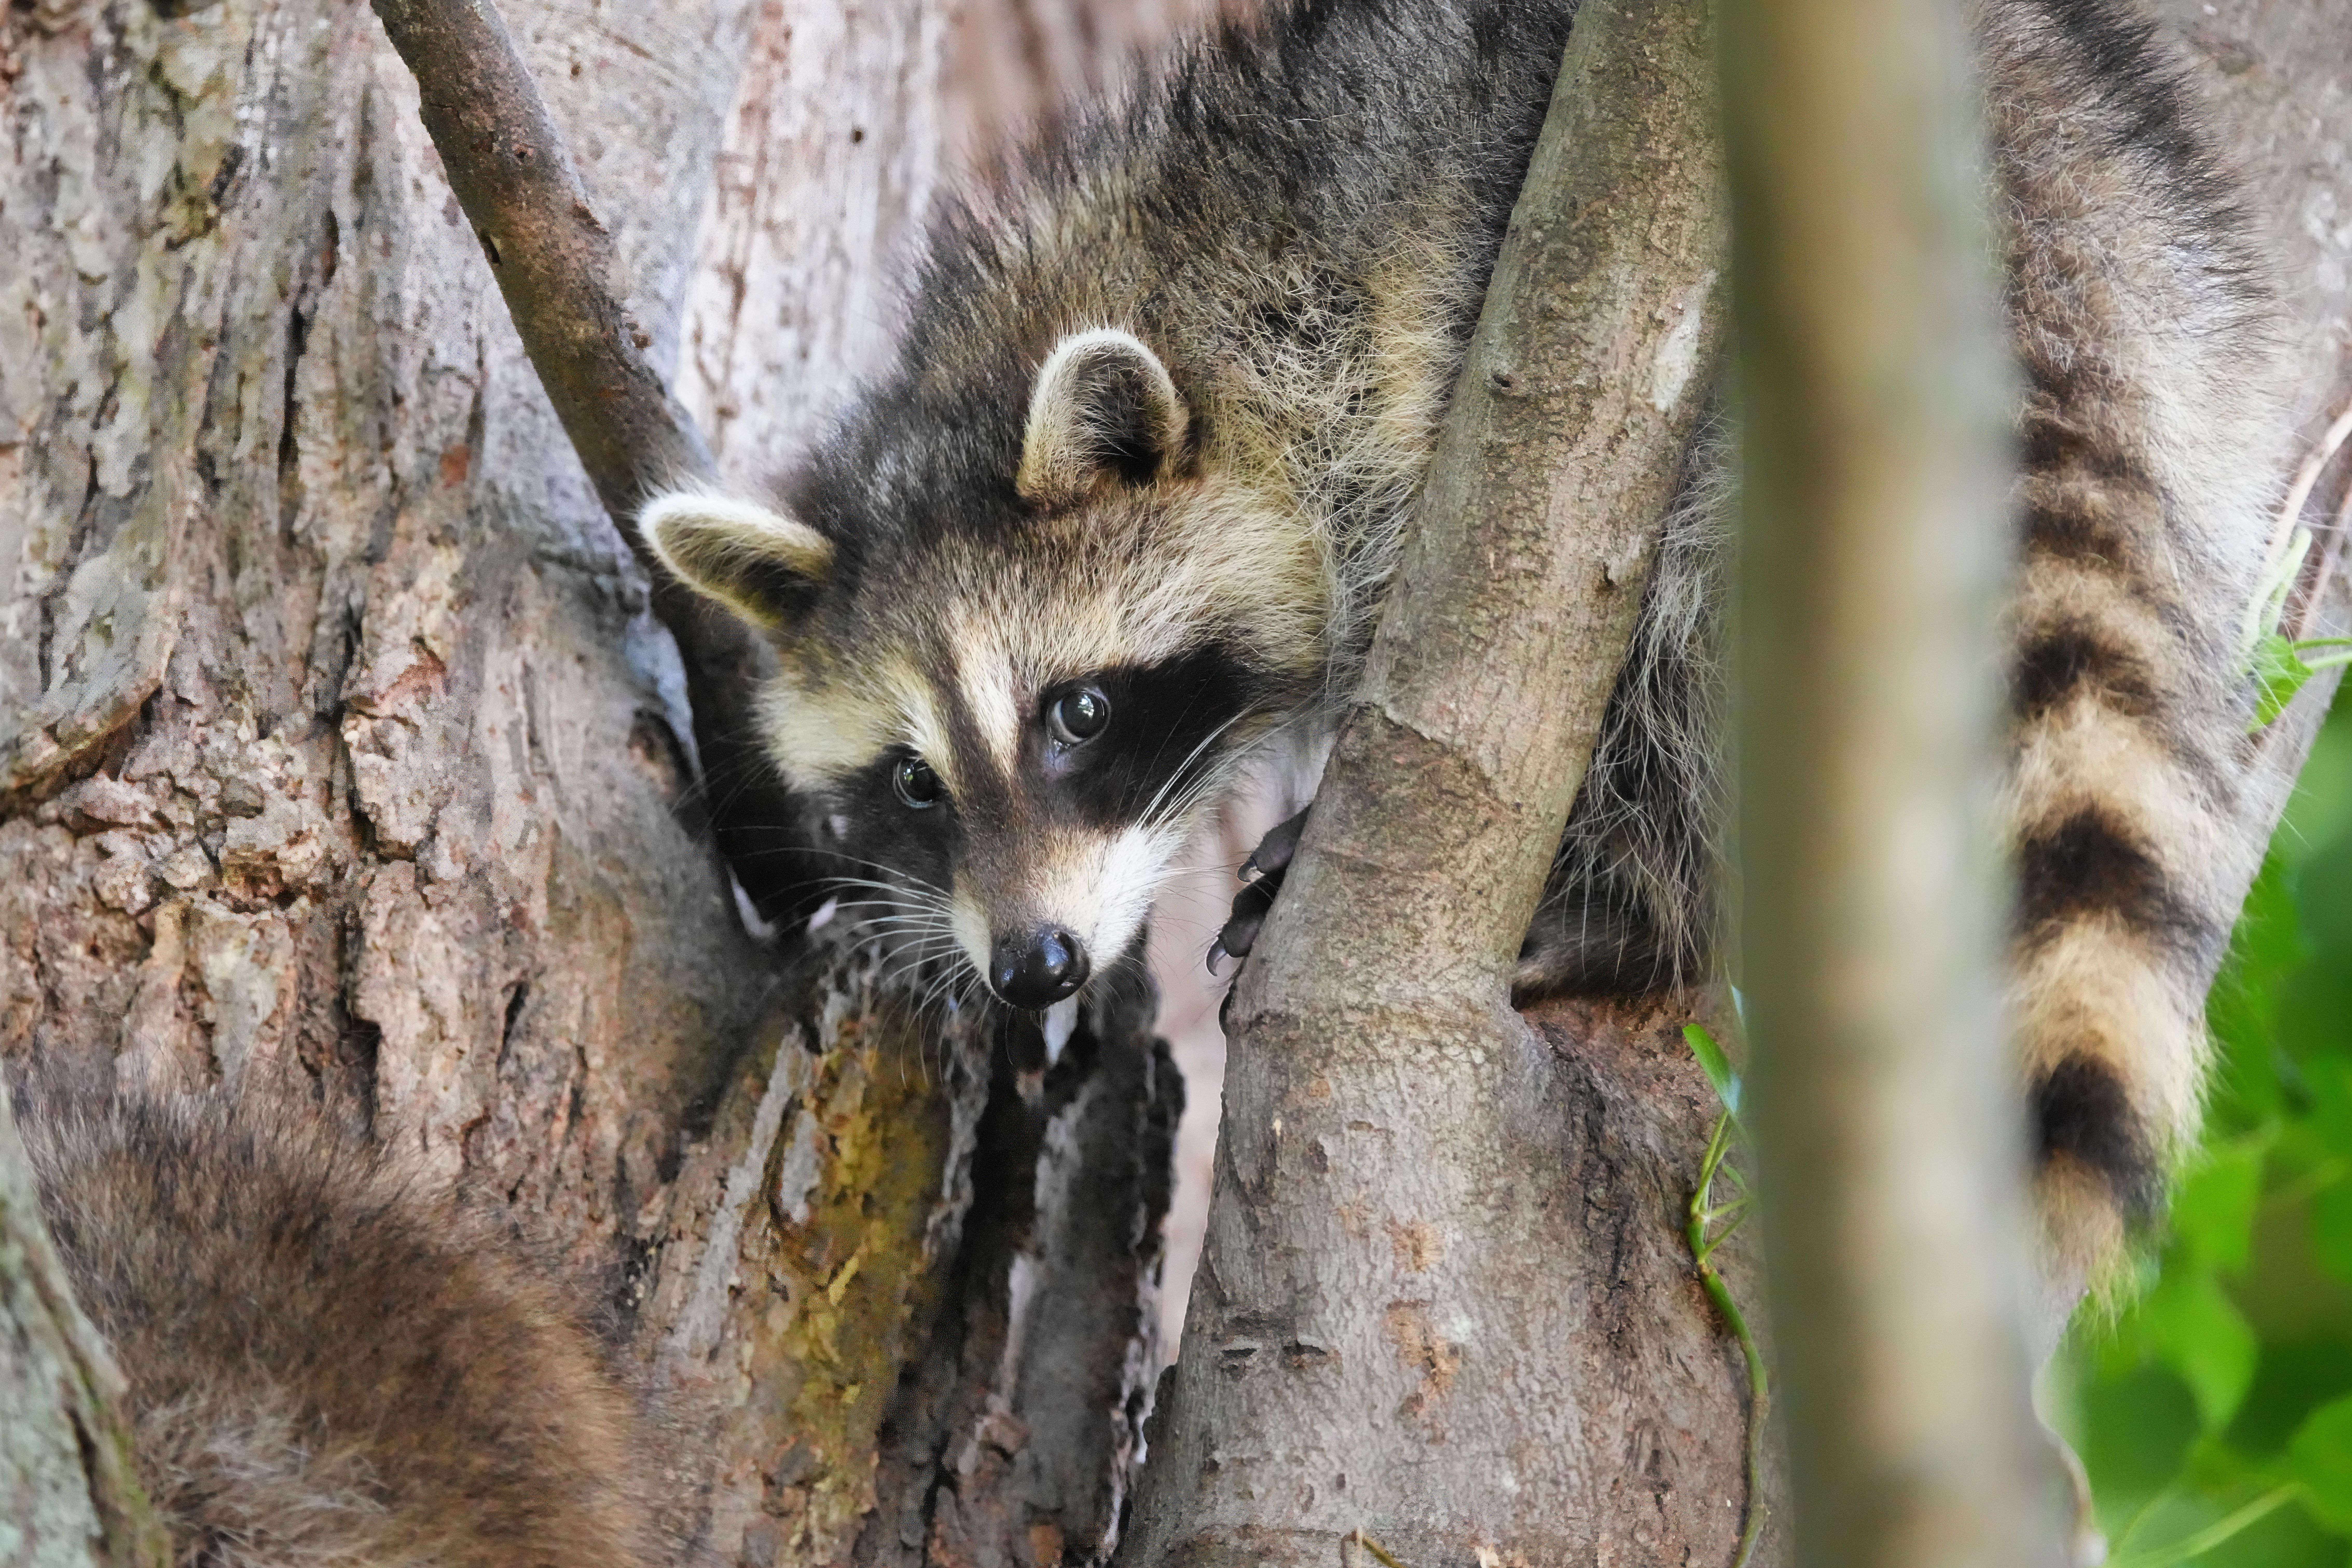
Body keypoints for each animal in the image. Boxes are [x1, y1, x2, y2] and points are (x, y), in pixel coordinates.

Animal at [642, 0, 2283, 1327]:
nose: (1032, 962)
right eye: (914, 783)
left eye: (1080, 714)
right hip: (2185, 319)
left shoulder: (1360, 335)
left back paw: (1639, 888)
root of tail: (2020, 165)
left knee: (1668, 641)